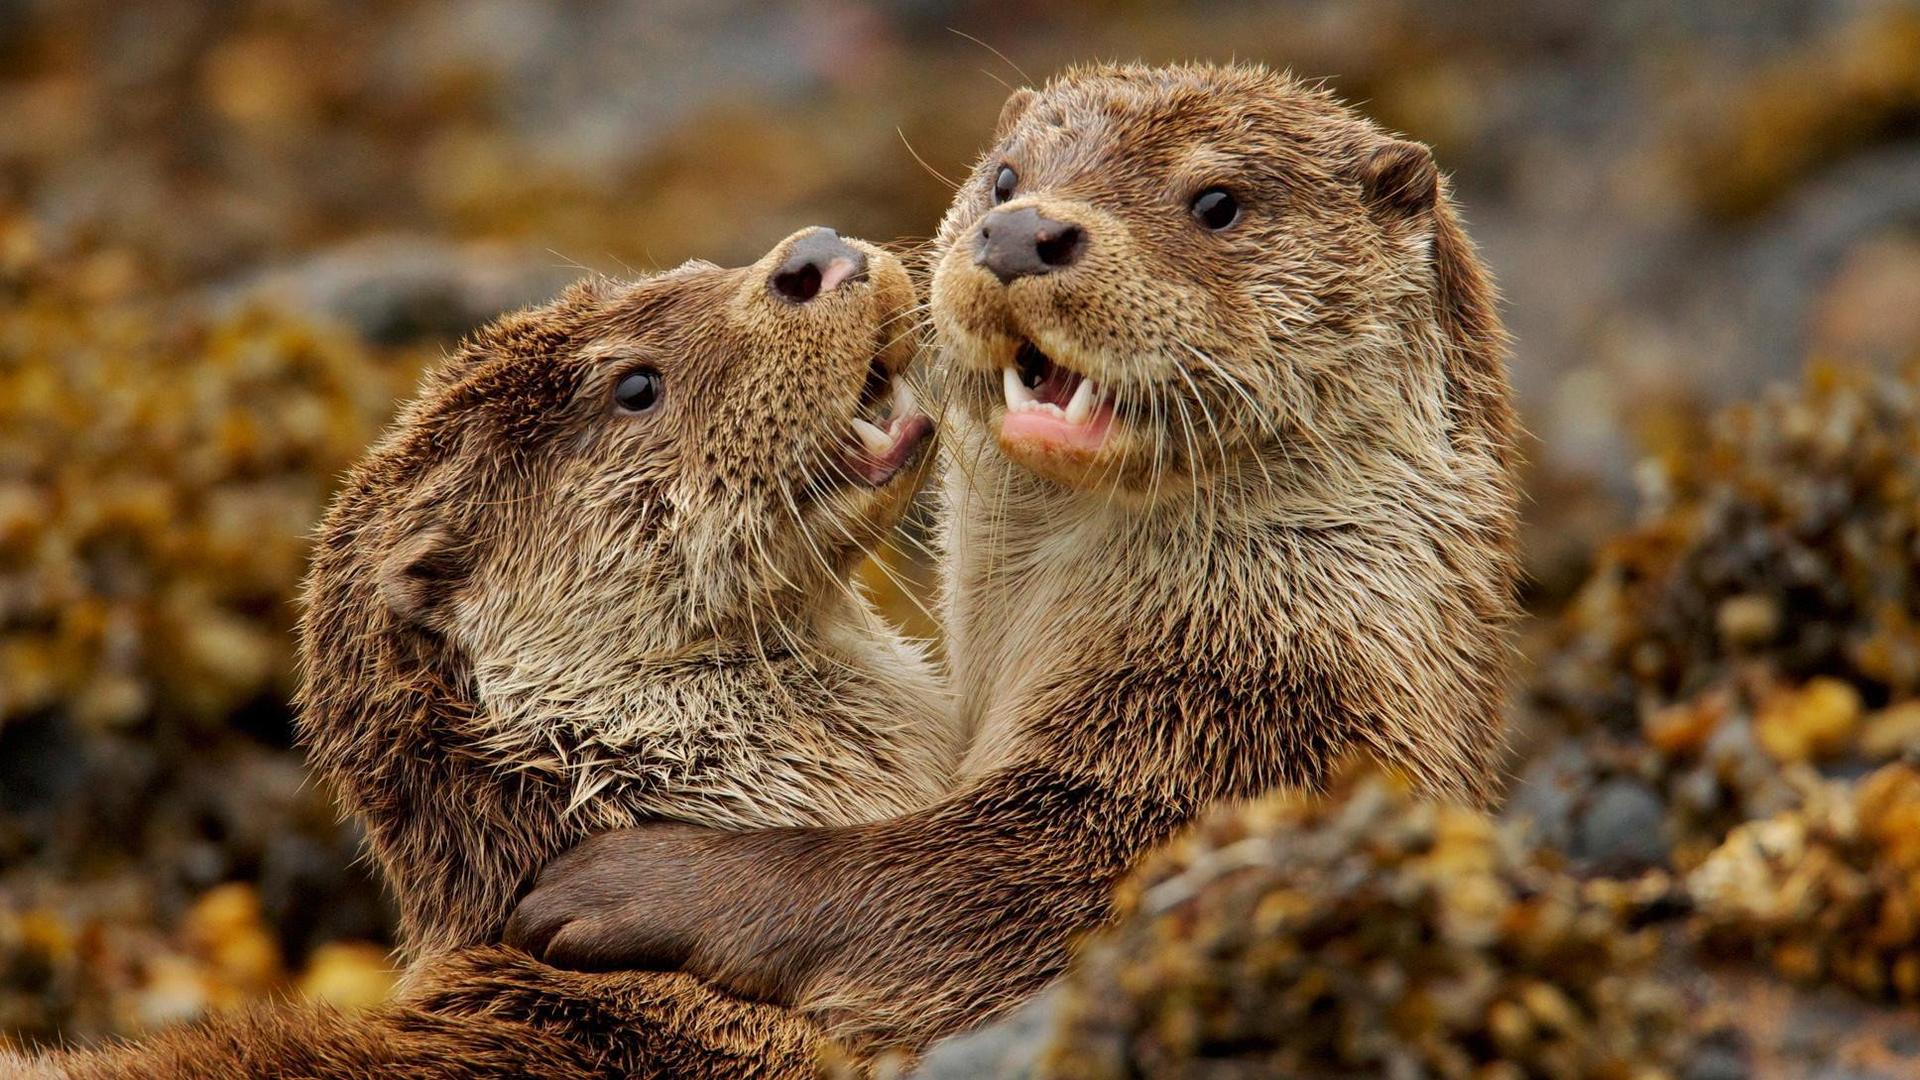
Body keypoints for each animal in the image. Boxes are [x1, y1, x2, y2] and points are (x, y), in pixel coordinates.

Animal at [507, 62, 1522, 1054]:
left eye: (1218, 202)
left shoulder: (1249, 742)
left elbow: (959, 893)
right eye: (1004, 178)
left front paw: (642, 883)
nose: (1022, 231)